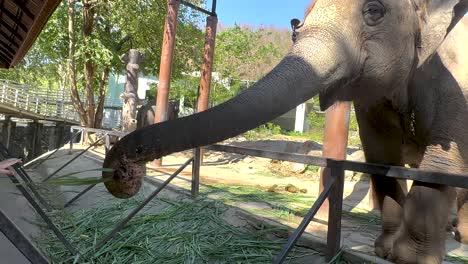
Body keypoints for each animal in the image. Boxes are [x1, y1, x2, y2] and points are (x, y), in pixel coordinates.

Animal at [103, 1, 468, 262]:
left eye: (374, 11)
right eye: (297, 25)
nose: (125, 169)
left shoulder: (459, 76)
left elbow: (440, 166)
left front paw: (407, 259)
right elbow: (380, 160)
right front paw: (384, 251)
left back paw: (460, 236)